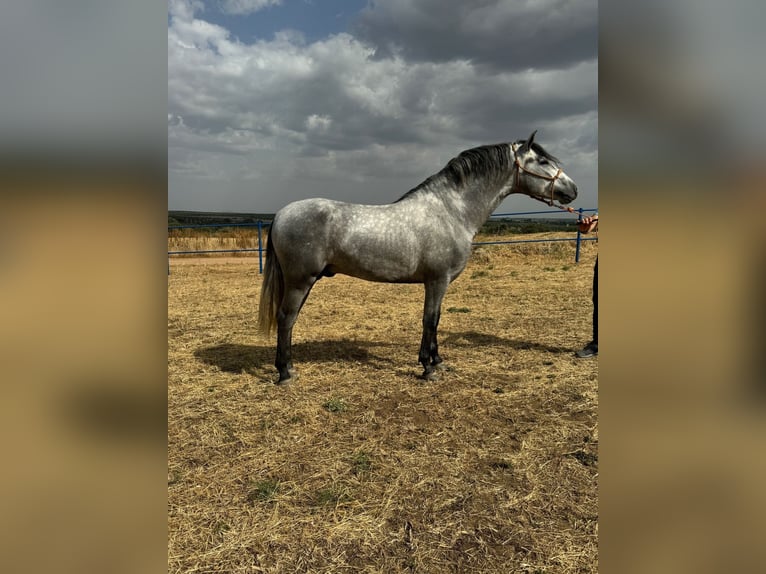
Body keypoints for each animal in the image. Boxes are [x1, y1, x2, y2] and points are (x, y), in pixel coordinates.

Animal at [258, 132, 576, 384]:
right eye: (543, 161)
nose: (573, 189)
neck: (451, 211)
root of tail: (281, 214)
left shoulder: (439, 283)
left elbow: (437, 319)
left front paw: (438, 361)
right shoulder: (437, 280)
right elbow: (430, 319)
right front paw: (428, 368)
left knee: (290, 320)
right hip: (300, 281)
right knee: (286, 318)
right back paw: (285, 373)